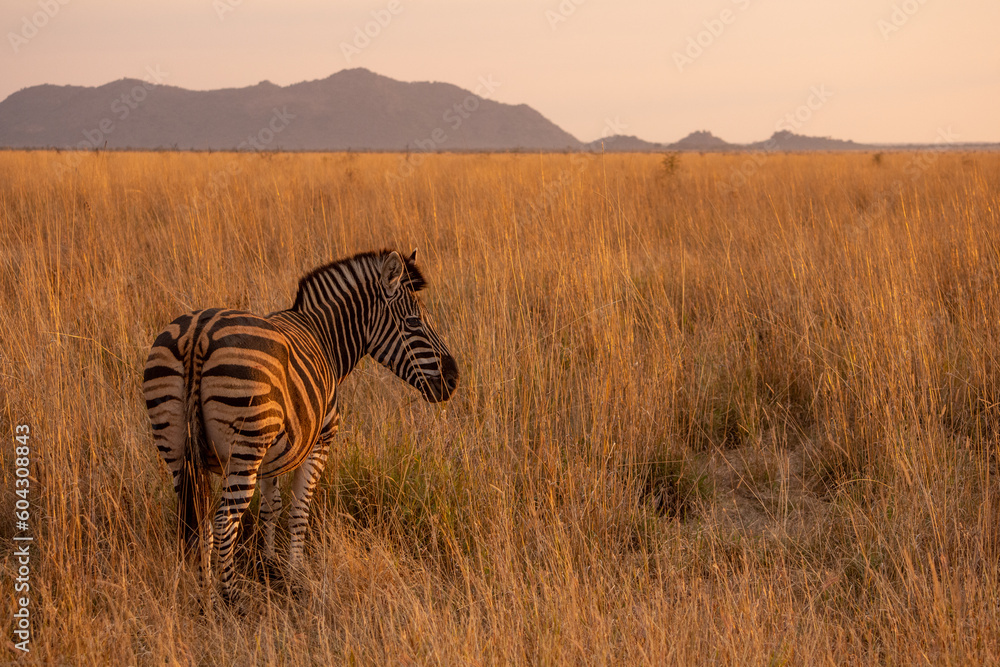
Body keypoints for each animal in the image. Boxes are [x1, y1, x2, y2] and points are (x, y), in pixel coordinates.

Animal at [142, 249, 458, 603]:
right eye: (414, 322)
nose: (453, 379)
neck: (324, 337)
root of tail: (198, 333)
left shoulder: (271, 453)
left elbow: (271, 506)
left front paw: (268, 564)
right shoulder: (319, 442)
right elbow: (298, 510)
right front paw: (295, 574)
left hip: (176, 449)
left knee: (199, 524)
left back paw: (207, 597)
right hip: (242, 451)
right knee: (224, 524)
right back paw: (234, 600)